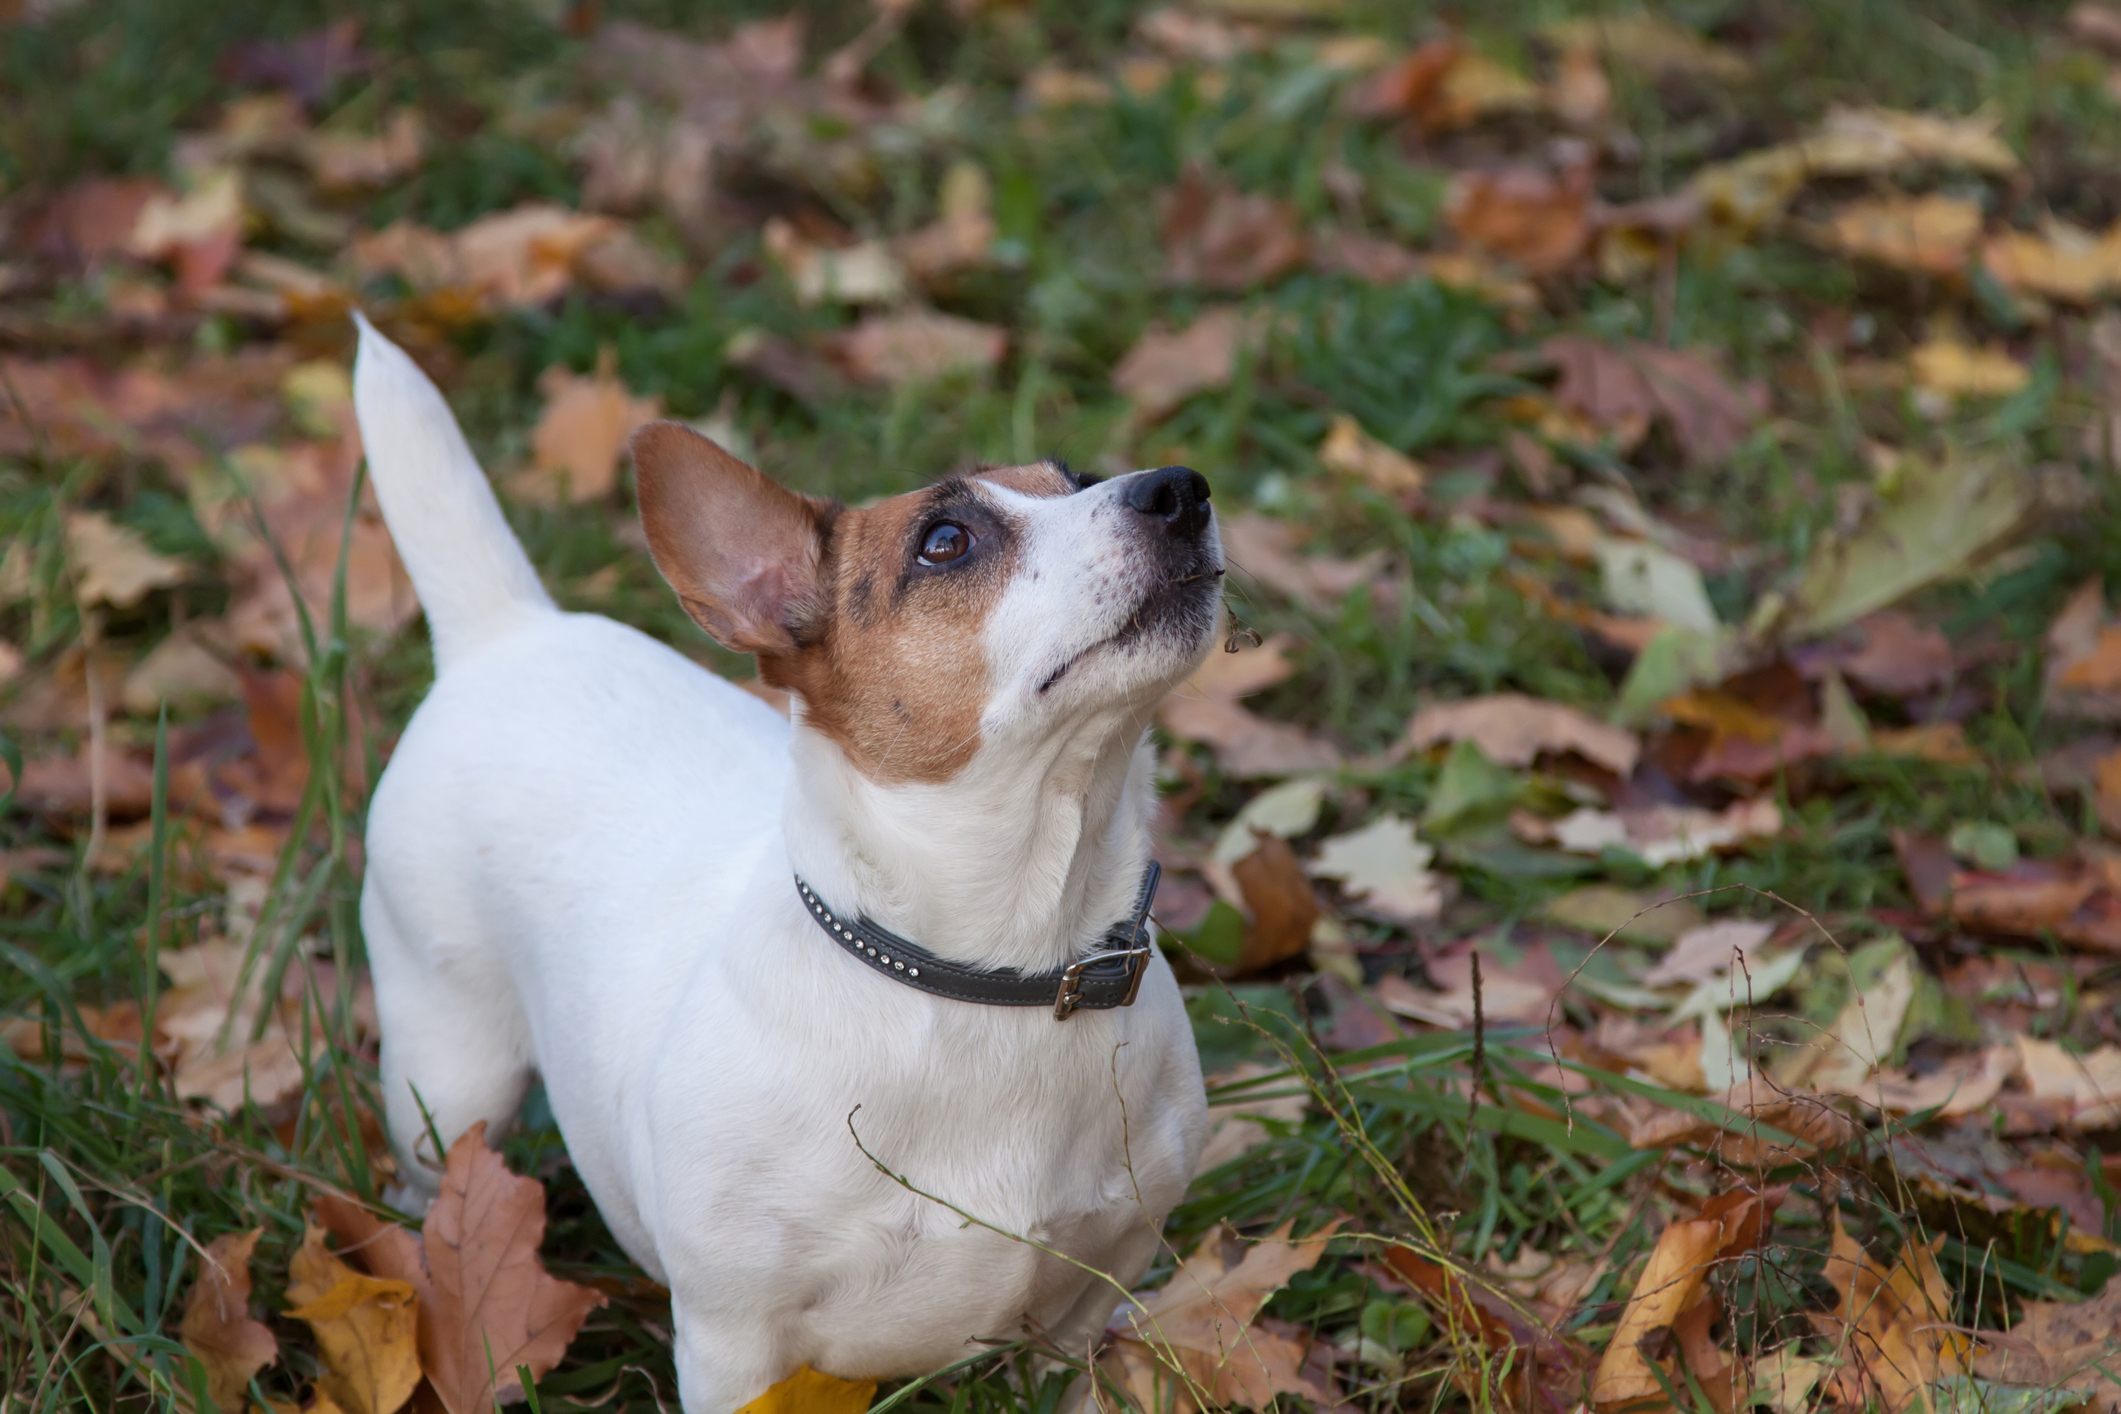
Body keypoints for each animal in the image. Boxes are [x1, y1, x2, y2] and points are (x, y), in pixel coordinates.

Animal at [341, 309, 1221, 1407]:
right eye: (946, 543)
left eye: (1077, 476)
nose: (1180, 487)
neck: (996, 974)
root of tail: (508, 631)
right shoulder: (733, 1344)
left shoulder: (1088, 1301)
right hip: (445, 1072)